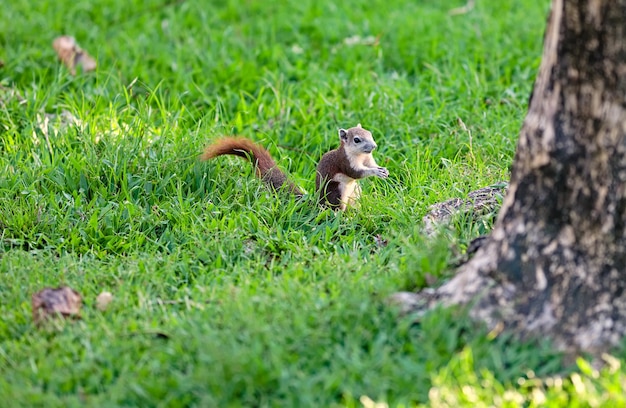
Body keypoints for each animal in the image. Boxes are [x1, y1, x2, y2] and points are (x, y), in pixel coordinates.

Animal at [200, 124, 388, 210]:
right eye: (357, 139)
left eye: (370, 134)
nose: (374, 146)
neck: (360, 156)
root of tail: (318, 202)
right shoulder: (345, 161)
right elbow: (356, 172)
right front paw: (375, 172)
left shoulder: (367, 158)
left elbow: (370, 164)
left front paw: (383, 170)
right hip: (336, 192)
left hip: (355, 192)